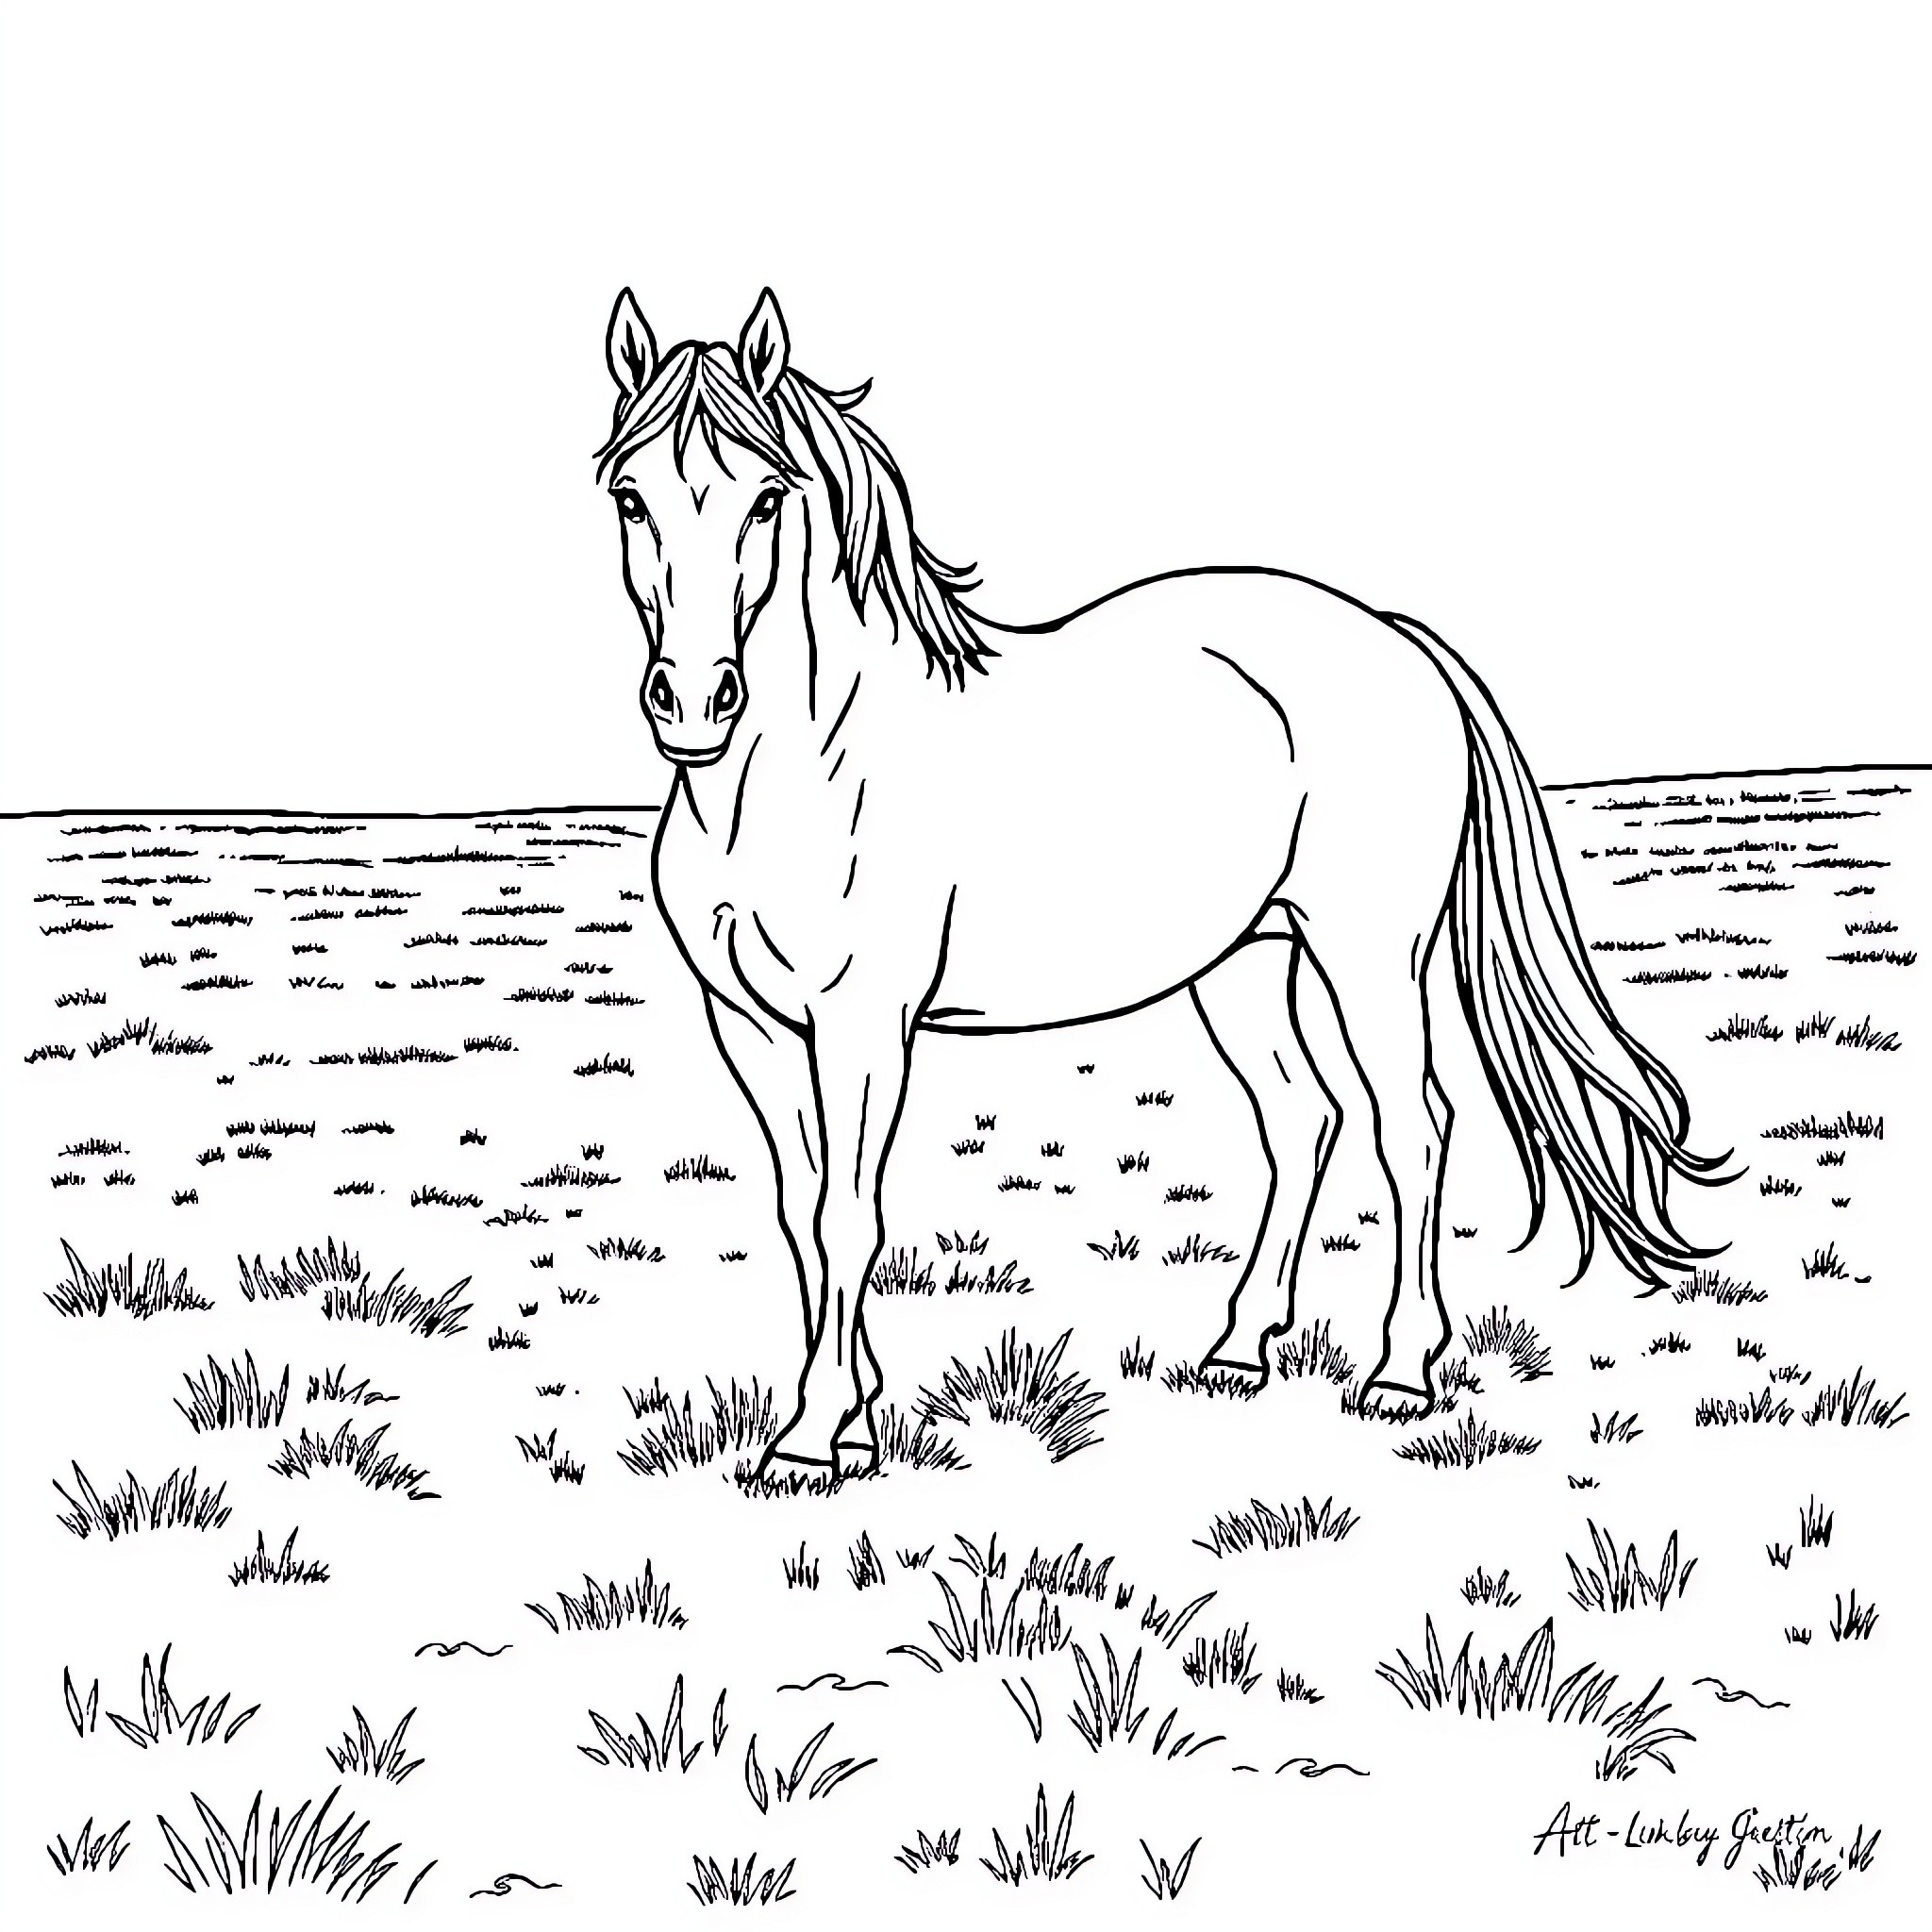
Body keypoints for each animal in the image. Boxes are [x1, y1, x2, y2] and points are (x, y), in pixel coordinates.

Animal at [594, 287, 1725, 1477]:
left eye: (766, 498)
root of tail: (1394, 638)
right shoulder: (752, 1025)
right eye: (631, 497)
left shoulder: (863, 1020)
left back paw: (1397, 1373)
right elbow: (799, 1213)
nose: (692, 703)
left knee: (1410, 1129)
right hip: (1245, 961)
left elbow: (847, 1217)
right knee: (1301, 1119)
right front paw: (849, 1412)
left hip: (1367, 957)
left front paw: (814, 1438)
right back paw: (1235, 1348)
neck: (802, 765)